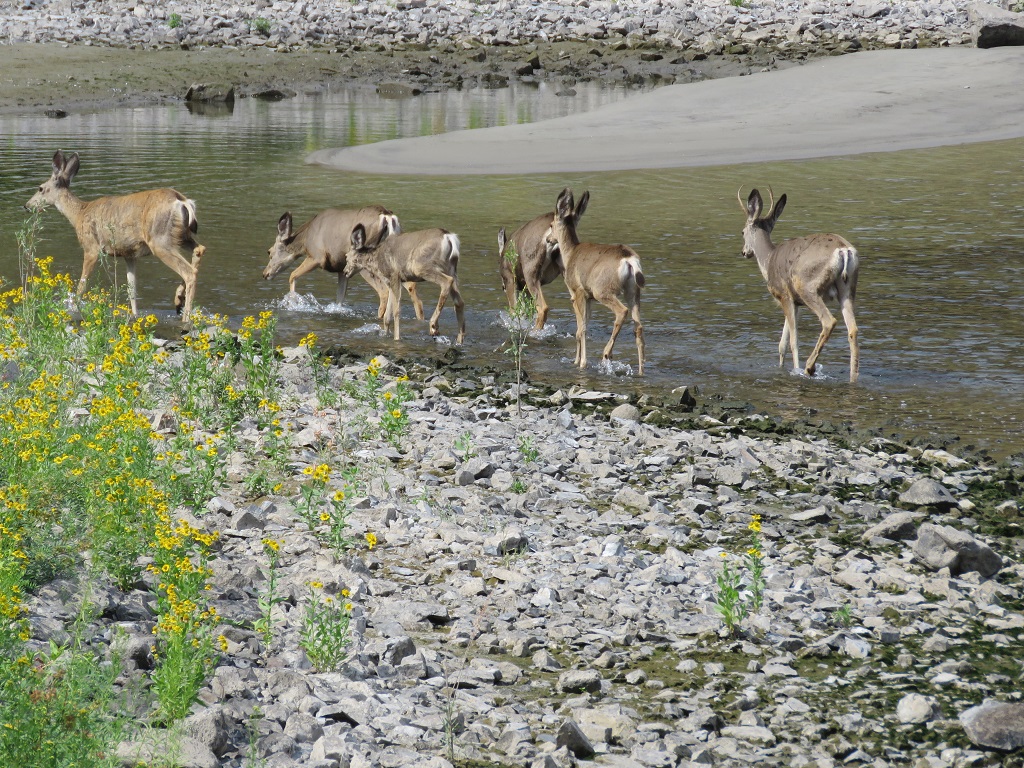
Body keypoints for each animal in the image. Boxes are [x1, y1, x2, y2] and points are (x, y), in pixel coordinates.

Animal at [25, 150, 205, 320]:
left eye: (40, 188)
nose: (27, 205)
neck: (79, 214)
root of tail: (182, 201)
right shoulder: (129, 254)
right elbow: (132, 290)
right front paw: (135, 316)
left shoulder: (91, 247)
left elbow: (82, 285)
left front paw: (73, 309)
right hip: (181, 236)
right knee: (199, 250)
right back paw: (178, 301)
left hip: (160, 239)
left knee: (189, 272)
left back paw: (185, 317)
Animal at [262, 208, 423, 321]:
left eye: (269, 252)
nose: (265, 274)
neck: (306, 239)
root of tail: (387, 217)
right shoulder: (341, 269)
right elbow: (340, 297)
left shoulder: (317, 257)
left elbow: (292, 275)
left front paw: (293, 303)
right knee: (411, 286)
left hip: (366, 263)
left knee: (384, 292)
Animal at [497, 191, 589, 330]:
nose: (502, 286)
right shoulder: (524, 288)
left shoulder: (510, 279)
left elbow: (515, 311)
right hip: (567, 272)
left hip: (530, 269)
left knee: (543, 308)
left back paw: (535, 331)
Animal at [545, 187, 645, 375]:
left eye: (551, 225)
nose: (548, 239)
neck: (570, 253)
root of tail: (629, 260)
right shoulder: (588, 297)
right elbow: (583, 326)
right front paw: (577, 360)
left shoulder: (578, 291)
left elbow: (582, 328)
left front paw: (581, 362)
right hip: (633, 290)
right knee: (639, 326)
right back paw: (641, 371)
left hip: (603, 289)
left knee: (622, 311)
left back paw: (607, 353)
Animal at [738, 187, 860, 383]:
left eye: (742, 232)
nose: (744, 252)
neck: (768, 259)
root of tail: (843, 250)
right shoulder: (795, 303)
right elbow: (782, 343)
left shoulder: (784, 295)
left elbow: (793, 341)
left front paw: (795, 369)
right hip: (847, 288)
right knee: (853, 329)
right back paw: (853, 378)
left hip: (807, 286)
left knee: (829, 321)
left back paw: (809, 368)